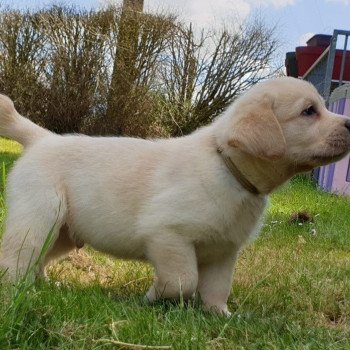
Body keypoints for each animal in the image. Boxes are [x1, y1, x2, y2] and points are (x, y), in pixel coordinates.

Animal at [0, 78, 350, 316]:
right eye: (309, 111)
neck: (227, 166)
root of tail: (43, 138)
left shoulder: (224, 251)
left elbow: (216, 288)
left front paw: (220, 315)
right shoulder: (167, 234)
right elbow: (184, 280)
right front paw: (154, 296)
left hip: (63, 232)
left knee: (39, 257)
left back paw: (44, 285)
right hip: (38, 217)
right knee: (16, 257)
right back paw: (17, 292)